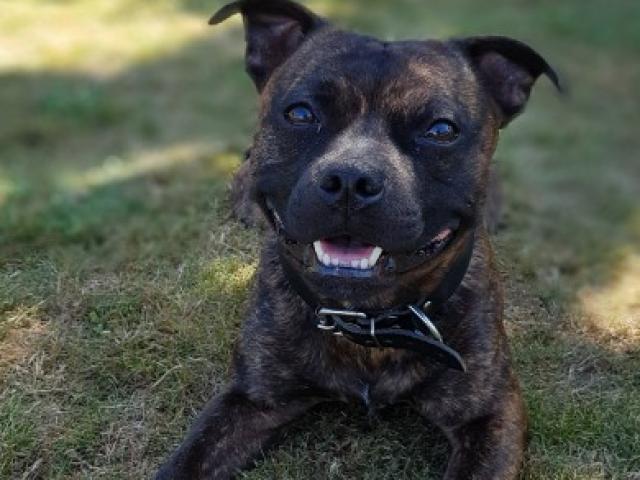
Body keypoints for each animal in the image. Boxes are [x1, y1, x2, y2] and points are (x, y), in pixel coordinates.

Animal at [155, 1, 560, 478]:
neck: (367, 320)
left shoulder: (491, 414)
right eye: (301, 113)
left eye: (440, 130)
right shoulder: (250, 399)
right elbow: (185, 462)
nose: (351, 178)